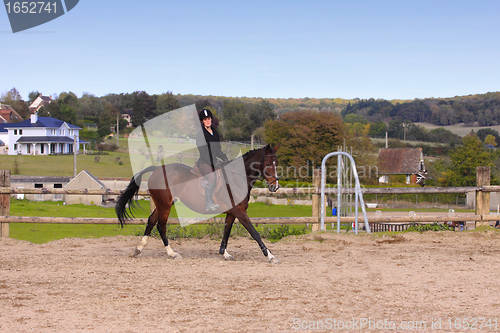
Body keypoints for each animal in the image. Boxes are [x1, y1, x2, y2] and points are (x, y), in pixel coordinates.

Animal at [116, 144, 282, 264]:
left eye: (277, 164)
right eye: (268, 163)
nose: (275, 187)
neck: (236, 178)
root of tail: (157, 169)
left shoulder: (232, 212)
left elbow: (226, 231)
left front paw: (225, 254)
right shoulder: (240, 212)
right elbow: (254, 233)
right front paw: (271, 256)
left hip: (162, 204)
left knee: (151, 221)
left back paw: (138, 249)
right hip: (165, 205)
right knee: (161, 226)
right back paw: (172, 253)